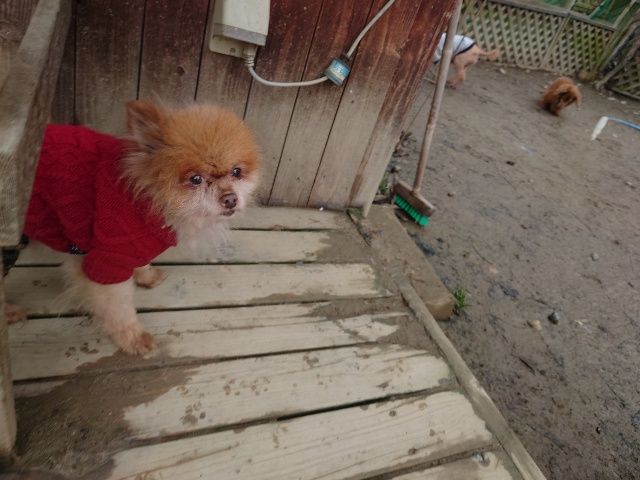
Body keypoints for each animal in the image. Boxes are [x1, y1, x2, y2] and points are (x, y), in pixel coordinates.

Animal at [3, 100, 261, 355]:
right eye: (195, 179)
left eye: (237, 172)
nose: (230, 198)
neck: (147, 195)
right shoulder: (107, 260)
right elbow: (118, 308)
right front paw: (133, 337)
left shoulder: (132, 243)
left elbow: (141, 263)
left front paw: (145, 275)